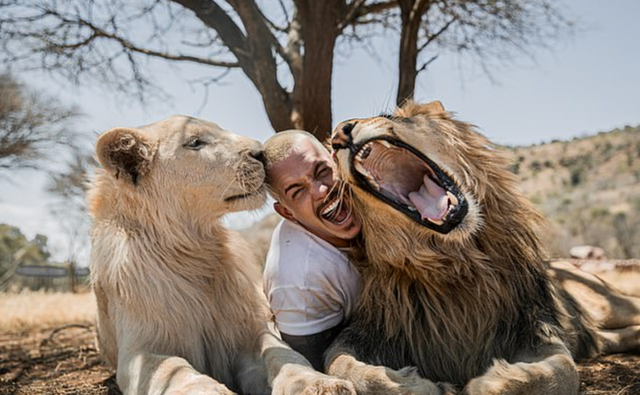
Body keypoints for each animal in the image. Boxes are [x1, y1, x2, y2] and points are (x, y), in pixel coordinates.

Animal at [87, 116, 356, 394]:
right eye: (195, 142)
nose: (261, 153)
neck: (193, 248)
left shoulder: (249, 332)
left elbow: (282, 354)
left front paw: (314, 383)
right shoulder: (138, 352)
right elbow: (174, 369)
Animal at [324, 103, 640, 395]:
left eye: (388, 116)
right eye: (332, 149)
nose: (339, 134)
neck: (455, 262)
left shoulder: (536, 328)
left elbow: (560, 373)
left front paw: (491, 384)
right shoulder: (368, 330)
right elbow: (339, 363)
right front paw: (412, 385)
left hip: (610, 305)